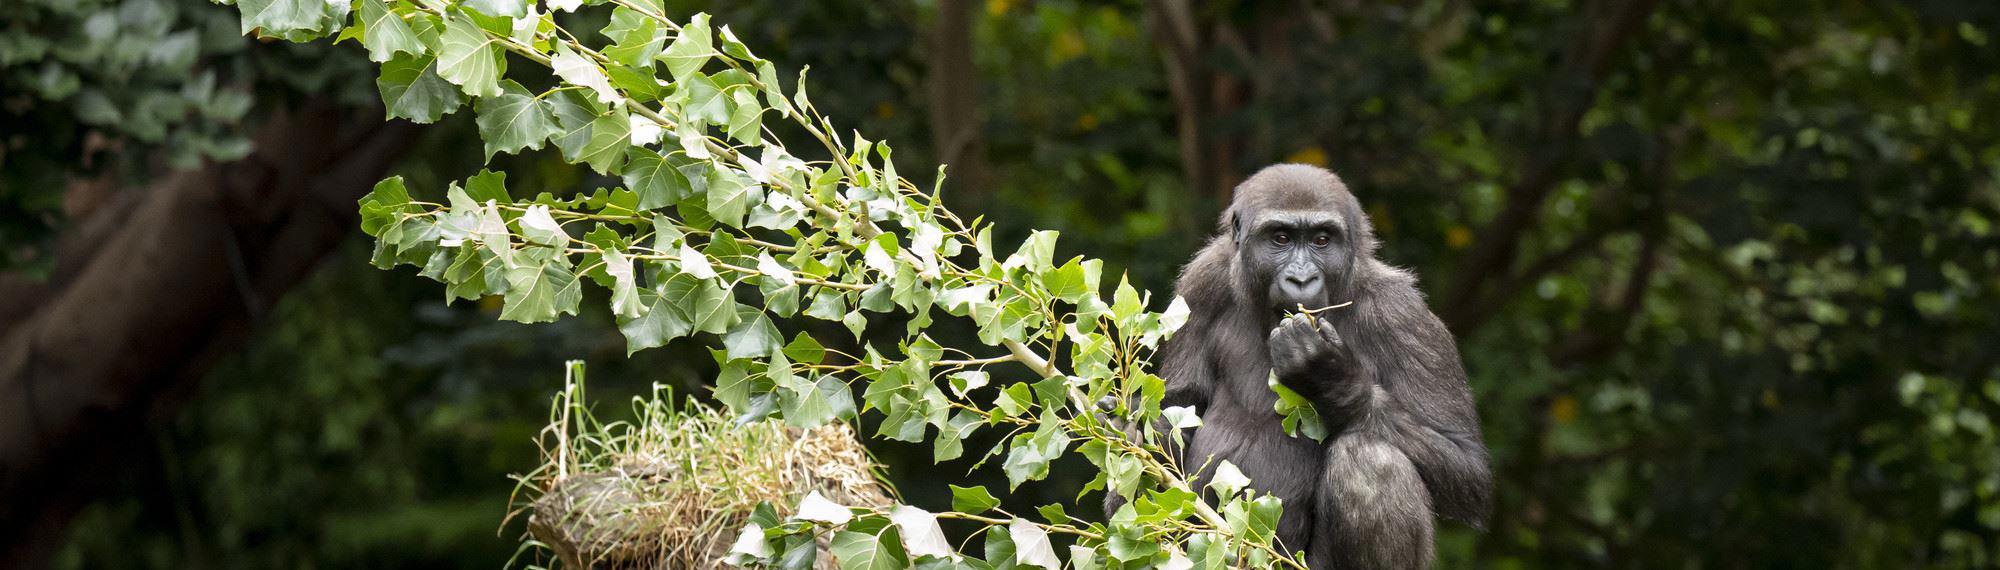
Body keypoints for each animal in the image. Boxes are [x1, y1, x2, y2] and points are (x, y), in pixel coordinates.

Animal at [1109, 164, 1490, 569]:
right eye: (1281, 238)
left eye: (1322, 240)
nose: (1302, 278)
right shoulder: (1202, 281)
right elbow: (1178, 407)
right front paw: (1131, 430)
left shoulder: (1402, 313)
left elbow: (1464, 463)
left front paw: (1331, 378)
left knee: (1370, 461)